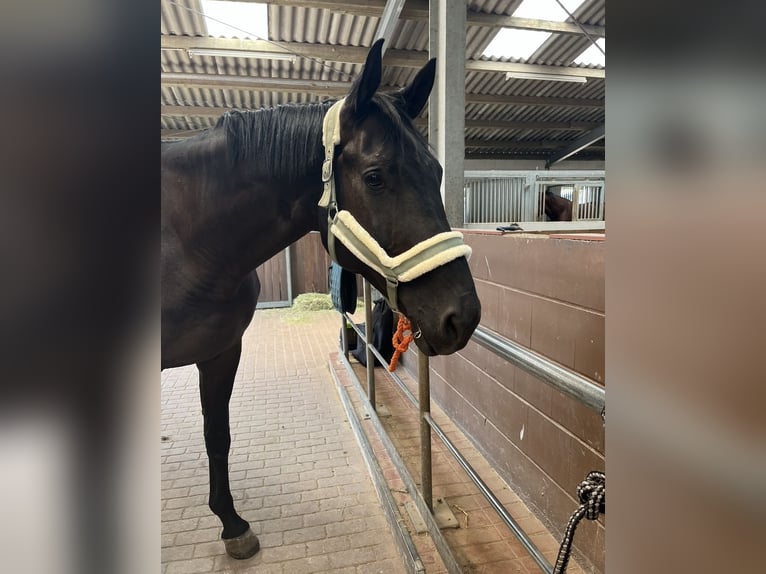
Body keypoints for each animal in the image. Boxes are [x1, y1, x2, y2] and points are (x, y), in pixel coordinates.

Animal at [162, 39, 484, 560]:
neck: (183, 239)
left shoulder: (221, 352)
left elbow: (218, 434)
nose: (464, 316)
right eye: (374, 177)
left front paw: (232, 524)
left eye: (438, 171)